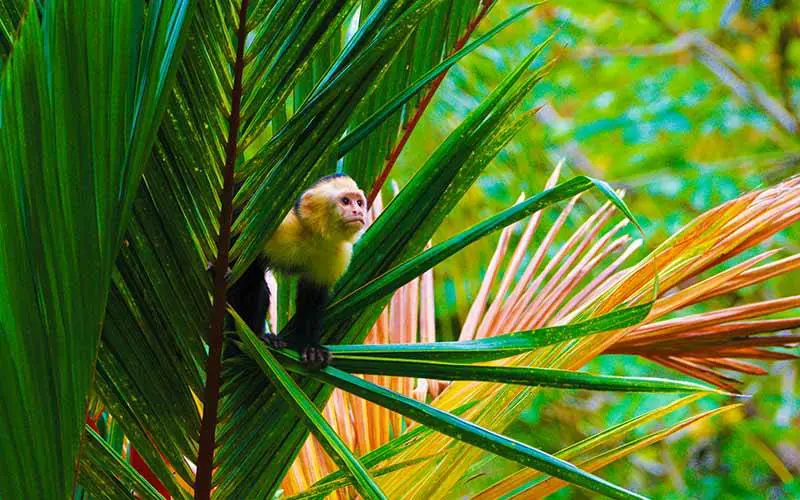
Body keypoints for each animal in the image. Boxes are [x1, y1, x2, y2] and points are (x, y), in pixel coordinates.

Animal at [226, 174, 367, 369]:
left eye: (359, 202)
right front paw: (253, 333)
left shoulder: (338, 253)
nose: (358, 212)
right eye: (345, 201)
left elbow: (313, 296)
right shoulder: (280, 223)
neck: (313, 234)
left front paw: (311, 347)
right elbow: (245, 265)